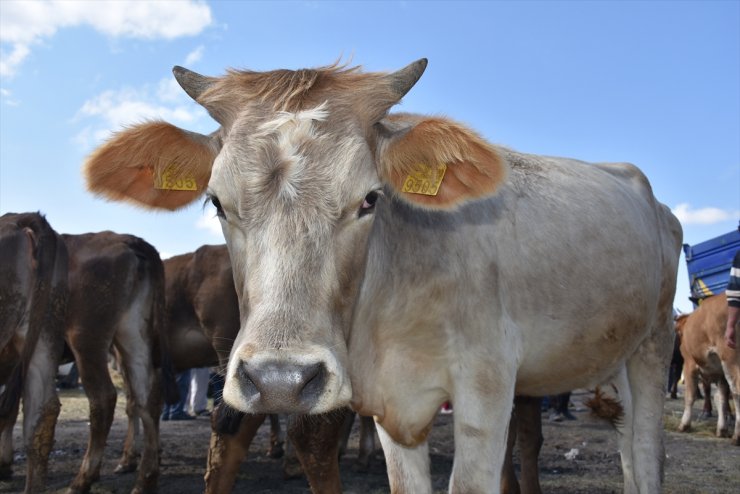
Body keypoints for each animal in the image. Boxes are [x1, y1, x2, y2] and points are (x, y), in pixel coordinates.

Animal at [61, 233, 176, 494]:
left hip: (86, 339)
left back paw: (83, 479)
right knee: (147, 398)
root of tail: (128, 239)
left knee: (104, 398)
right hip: (132, 336)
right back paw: (145, 479)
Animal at [82, 58, 684, 494]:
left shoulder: (487, 388)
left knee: (645, 453)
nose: (280, 380)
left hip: (653, 345)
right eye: (216, 202)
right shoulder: (394, 411)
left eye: (371, 198)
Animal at [676, 292, 740, 446]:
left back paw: (737, 436)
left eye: (679, 332)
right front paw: (722, 429)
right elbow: (721, 398)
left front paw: (684, 424)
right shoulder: (720, 373)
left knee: (737, 391)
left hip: (731, 358)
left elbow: (690, 396)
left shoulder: (689, 364)